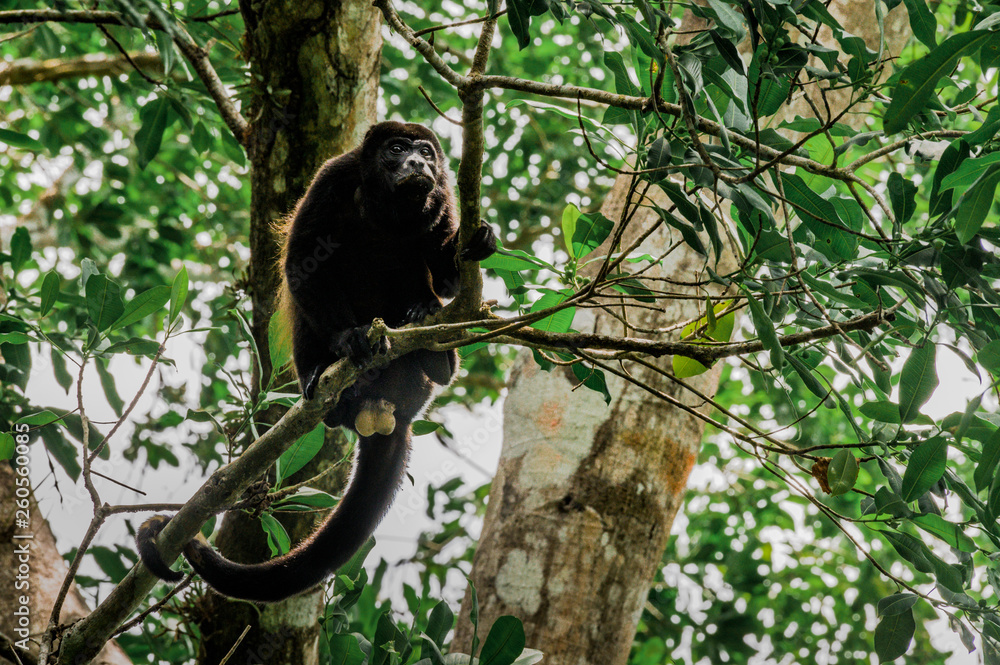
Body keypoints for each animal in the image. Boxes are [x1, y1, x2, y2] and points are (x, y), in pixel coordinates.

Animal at [136, 121, 496, 602]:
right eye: (397, 149)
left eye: (425, 152)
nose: (418, 164)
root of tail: (391, 410)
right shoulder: (333, 178)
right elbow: (302, 260)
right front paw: (349, 338)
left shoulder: (441, 197)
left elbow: (449, 278)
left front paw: (479, 241)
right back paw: (326, 376)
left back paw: (434, 349)